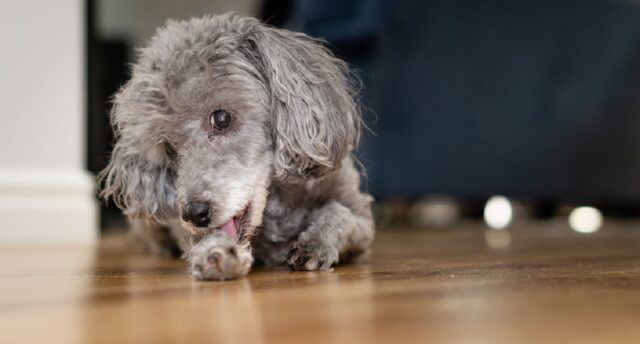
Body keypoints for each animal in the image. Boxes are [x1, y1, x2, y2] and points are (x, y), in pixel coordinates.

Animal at [97, 13, 372, 280]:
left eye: (221, 118)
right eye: (169, 148)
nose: (194, 214)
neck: (276, 206)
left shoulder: (362, 221)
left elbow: (340, 215)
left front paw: (315, 244)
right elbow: (207, 240)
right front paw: (217, 253)